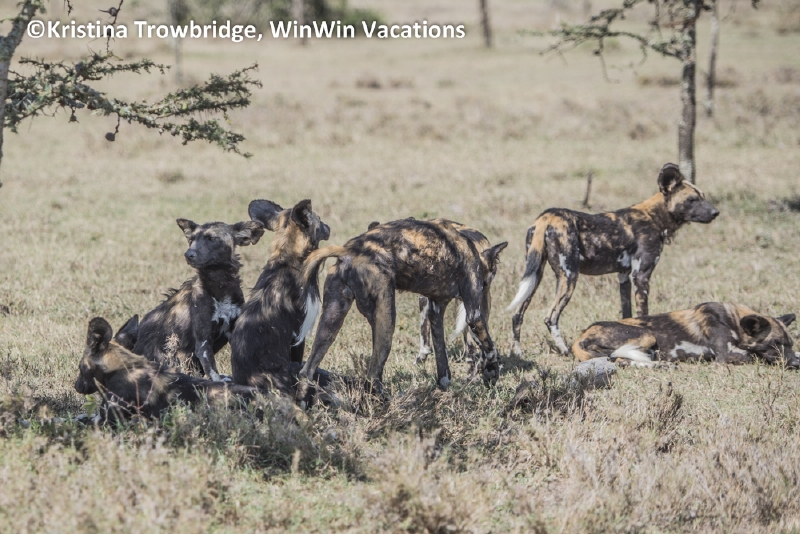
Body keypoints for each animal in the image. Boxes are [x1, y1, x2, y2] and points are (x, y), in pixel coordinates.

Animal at [132, 218, 264, 381]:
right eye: (191, 240)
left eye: (212, 239)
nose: (188, 254)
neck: (220, 285)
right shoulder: (203, 343)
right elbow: (214, 375)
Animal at [295, 217, 507, 403]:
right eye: (491, 275)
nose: (487, 288)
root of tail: (350, 251)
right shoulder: (474, 315)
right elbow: (490, 349)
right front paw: (491, 374)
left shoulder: (435, 310)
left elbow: (442, 365)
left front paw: (443, 392)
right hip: (386, 321)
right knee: (372, 378)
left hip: (331, 320)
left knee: (307, 372)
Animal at [507, 163, 719, 356]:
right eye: (692, 200)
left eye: (703, 197)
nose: (715, 213)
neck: (653, 216)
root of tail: (547, 216)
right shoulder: (641, 276)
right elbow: (643, 314)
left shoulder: (624, 276)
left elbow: (627, 313)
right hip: (569, 277)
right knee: (550, 318)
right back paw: (565, 350)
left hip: (535, 276)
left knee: (517, 315)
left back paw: (517, 353)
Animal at [572, 303, 799, 368]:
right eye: (775, 344)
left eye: (789, 344)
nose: (795, 364)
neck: (733, 320)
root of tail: (581, 336)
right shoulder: (726, 355)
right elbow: (756, 356)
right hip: (646, 334)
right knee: (618, 358)